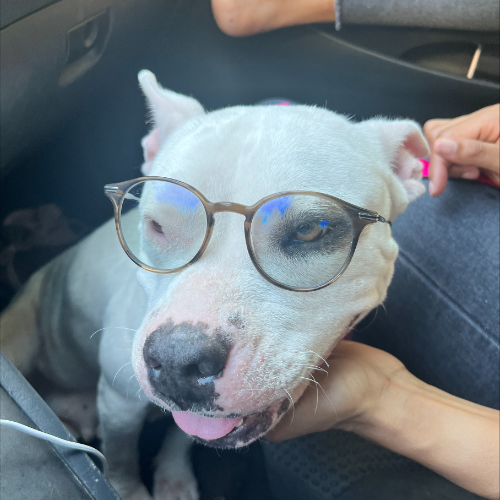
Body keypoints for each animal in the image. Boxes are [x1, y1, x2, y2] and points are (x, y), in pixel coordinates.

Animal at [0, 70, 428, 500]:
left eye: (310, 230)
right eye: (156, 225)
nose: (178, 360)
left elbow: (182, 436)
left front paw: (173, 478)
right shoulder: (119, 403)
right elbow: (121, 460)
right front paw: (127, 490)